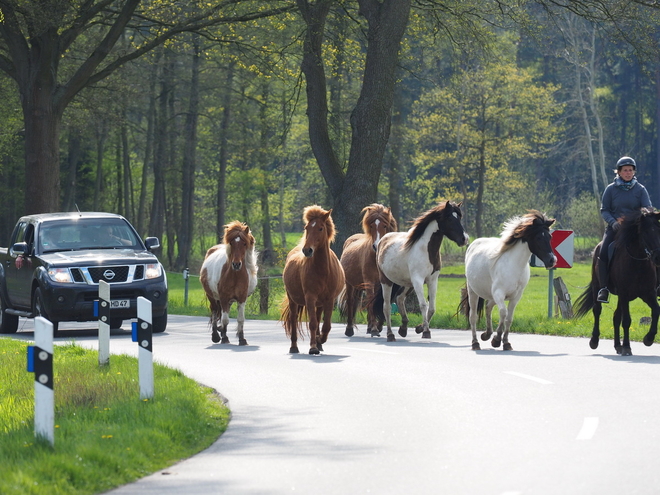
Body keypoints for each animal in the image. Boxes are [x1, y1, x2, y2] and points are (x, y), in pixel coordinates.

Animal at [282, 206, 348, 356]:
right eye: (307, 228)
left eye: (320, 228)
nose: (307, 250)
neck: (322, 270)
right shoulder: (310, 297)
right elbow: (312, 323)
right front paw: (313, 347)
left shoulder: (329, 299)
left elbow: (326, 325)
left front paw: (319, 340)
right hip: (293, 300)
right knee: (294, 319)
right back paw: (294, 347)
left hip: (320, 303)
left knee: (318, 319)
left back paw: (319, 342)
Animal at [340, 204, 398, 338]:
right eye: (371, 226)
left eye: (385, 225)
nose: (376, 246)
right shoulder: (369, 282)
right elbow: (371, 303)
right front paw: (375, 329)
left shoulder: (382, 283)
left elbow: (381, 302)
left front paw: (378, 326)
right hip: (350, 284)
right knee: (351, 302)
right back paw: (349, 329)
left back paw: (369, 327)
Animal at [572, 209, 660, 356]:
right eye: (646, 232)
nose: (658, 256)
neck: (637, 263)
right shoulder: (624, 294)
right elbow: (627, 320)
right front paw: (627, 347)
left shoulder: (648, 294)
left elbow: (656, 310)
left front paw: (648, 339)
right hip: (598, 287)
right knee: (597, 311)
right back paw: (594, 341)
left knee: (616, 316)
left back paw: (618, 346)